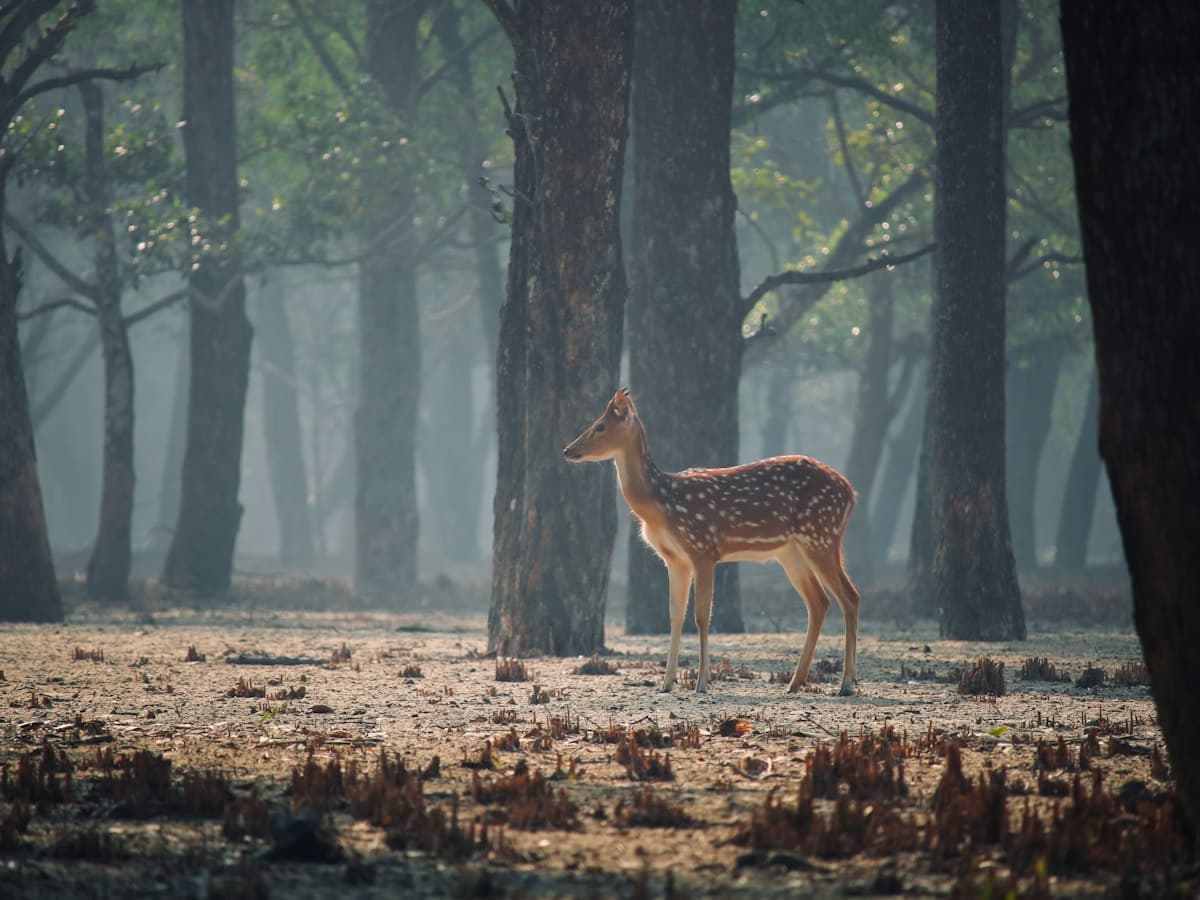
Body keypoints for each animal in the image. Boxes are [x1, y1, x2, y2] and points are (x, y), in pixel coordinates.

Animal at [563, 389, 861, 696]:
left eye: (599, 426)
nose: (567, 450)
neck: (661, 504)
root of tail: (851, 492)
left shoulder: (703, 548)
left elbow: (701, 615)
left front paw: (702, 682)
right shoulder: (674, 559)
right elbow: (675, 615)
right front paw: (667, 683)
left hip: (821, 534)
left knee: (849, 596)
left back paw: (846, 683)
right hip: (791, 551)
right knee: (820, 602)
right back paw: (795, 682)